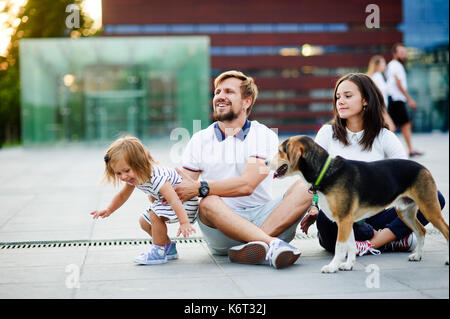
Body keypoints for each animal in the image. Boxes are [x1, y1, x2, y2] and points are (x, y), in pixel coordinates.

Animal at [268, 134, 448, 272]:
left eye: (280, 151)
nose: (265, 163)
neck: (325, 172)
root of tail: (423, 168)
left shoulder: (343, 220)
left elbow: (340, 246)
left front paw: (332, 267)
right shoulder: (347, 221)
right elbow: (350, 245)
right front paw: (348, 265)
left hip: (430, 209)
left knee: (445, 230)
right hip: (404, 212)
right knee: (421, 231)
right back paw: (417, 255)